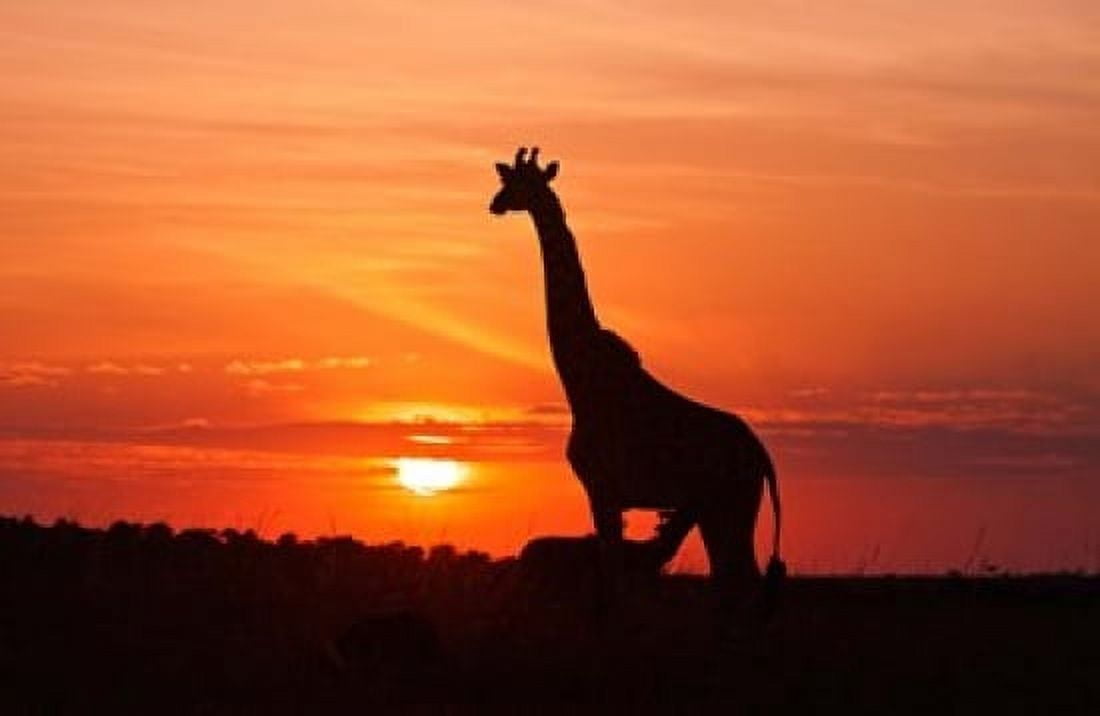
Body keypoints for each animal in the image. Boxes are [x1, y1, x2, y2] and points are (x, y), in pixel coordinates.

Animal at [489, 147, 785, 605]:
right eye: (507, 180)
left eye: (521, 184)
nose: (495, 204)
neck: (582, 382)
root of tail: (761, 456)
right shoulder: (609, 496)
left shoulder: (602, 489)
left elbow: (613, 585)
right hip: (718, 508)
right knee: (732, 582)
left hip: (732, 503)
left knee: (742, 583)